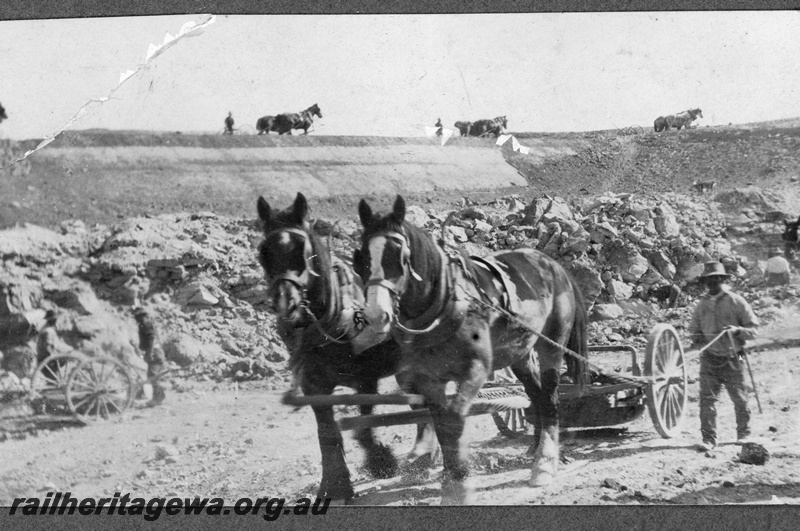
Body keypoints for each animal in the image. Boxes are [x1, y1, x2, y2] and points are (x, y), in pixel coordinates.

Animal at [256, 192, 434, 502]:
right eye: (264, 251)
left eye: (303, 249)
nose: (287, 305)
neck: (333, 319)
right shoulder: (313, 385)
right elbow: (327, 433)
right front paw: (334, 483)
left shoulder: (366, 378)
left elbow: (363, 427)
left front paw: (381, 462)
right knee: (419, 400)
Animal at [354, 197, 588, 504]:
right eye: (362, 257)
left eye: (399, 254)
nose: (375, 314)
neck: (444, 305)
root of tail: (555, 267)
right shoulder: (429, 380)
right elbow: (442, 425)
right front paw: (450, 482)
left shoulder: (474, 370)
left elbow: (455, 420)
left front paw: (461, 483)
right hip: (520, 355)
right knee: (535, 395)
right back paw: (534, 449)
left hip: (551, 345)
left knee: (549, 398)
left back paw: (544, 464)